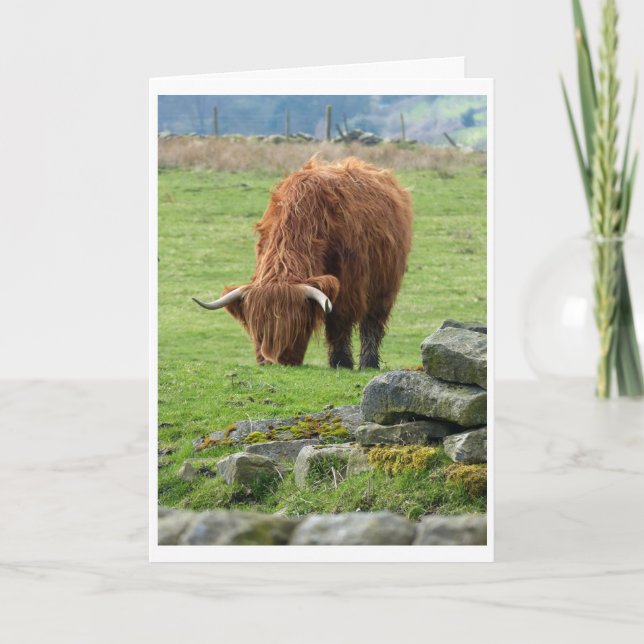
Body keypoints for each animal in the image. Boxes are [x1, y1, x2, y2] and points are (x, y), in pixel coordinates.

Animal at [193, 157, 413, 369]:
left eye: (296, 328)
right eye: (257, 330)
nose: (276, 362)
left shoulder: (348, 285)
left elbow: (338, 323)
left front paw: (341, 362)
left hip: (384, 287)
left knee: (372, 324)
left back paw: (369, 363)